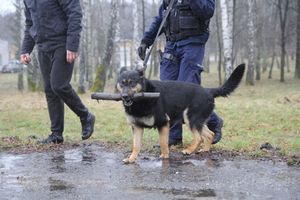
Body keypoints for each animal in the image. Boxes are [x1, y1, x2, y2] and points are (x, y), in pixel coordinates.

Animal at [116, 63, 245, 163]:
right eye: (122, 83)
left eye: (132, 83)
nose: (124, 96)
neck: (142, 98)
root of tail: (208, 90)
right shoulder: (137, 127)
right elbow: (136, 145)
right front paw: (131, 159)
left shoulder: (163, 123)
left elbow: (163, 143)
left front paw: (164, 156)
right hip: (197, 121)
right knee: (209, 134)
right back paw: (205, 150)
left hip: (189, 118)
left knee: (199, 137)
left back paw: (189, 150)